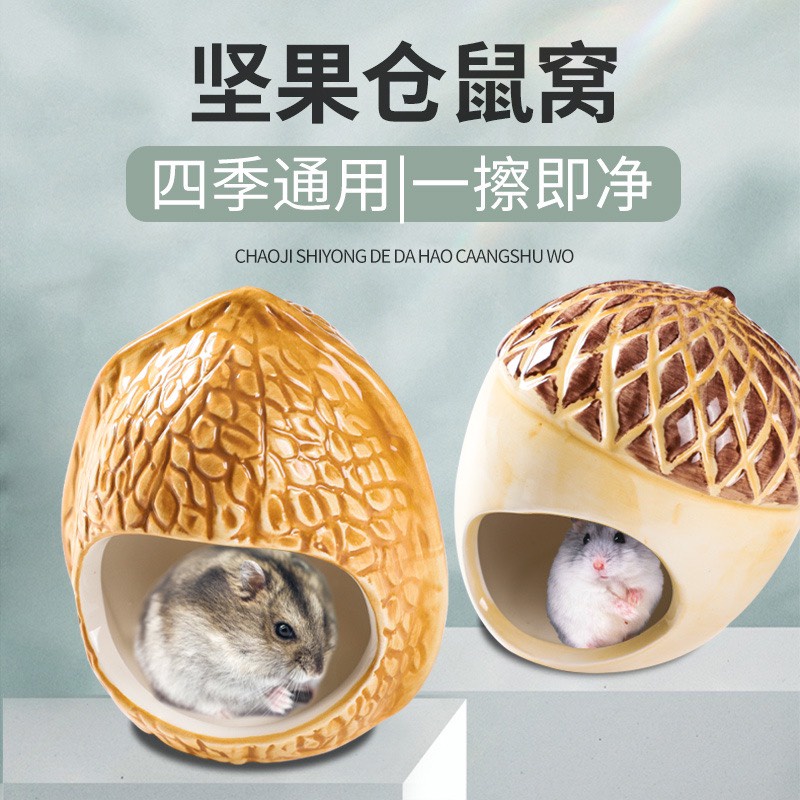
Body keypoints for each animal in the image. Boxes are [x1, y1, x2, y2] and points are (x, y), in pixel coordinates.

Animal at [135, 546, 337, 718]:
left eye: (324, 620)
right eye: (283, 630)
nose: (317, 673)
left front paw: (308, 689)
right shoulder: (217, 677)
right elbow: (252, 692)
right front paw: (284, 700)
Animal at [546, 520, 664, 649]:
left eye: (619, 537)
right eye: (586, 539)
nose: (598, 565)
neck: (611, 580)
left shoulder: (652, 580)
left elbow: (641, 590)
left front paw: (633, 602)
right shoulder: (584, 592)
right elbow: (609, 601)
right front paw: (631, 613)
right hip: (577, 635)